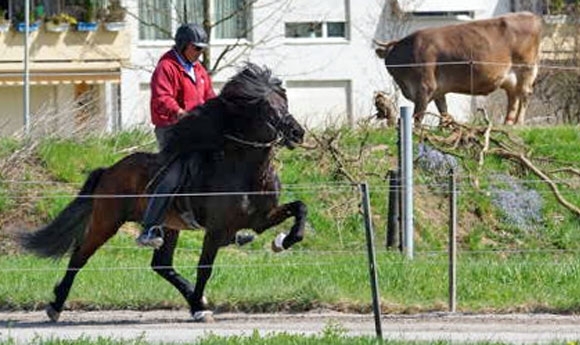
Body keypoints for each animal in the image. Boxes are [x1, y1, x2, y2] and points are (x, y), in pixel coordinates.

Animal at [19, 62, 308, 322]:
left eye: (284, 101)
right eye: (265, 106)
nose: (297, 132)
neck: (247, 172)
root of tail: (109, 170)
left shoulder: (261, 218)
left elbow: (300, 209)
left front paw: (283, 241)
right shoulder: (216, 229)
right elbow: (205, 267)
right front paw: (200, 309)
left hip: (168, 226)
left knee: (161, 264)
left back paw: (195, 298)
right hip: (106, 221)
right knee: (79, 256)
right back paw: (55, 305)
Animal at [374, 12, 540, 125]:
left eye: (394, 53)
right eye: (389, 54)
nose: (391, 63)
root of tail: (529, 15)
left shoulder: (424, 88)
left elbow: (418, 116)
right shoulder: (438, 91)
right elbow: (443, 110)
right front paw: (444, 127)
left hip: (526, 70)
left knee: (524, 95)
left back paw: (519, 123)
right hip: (511, 78)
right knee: (513, 97)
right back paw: (507, 124)